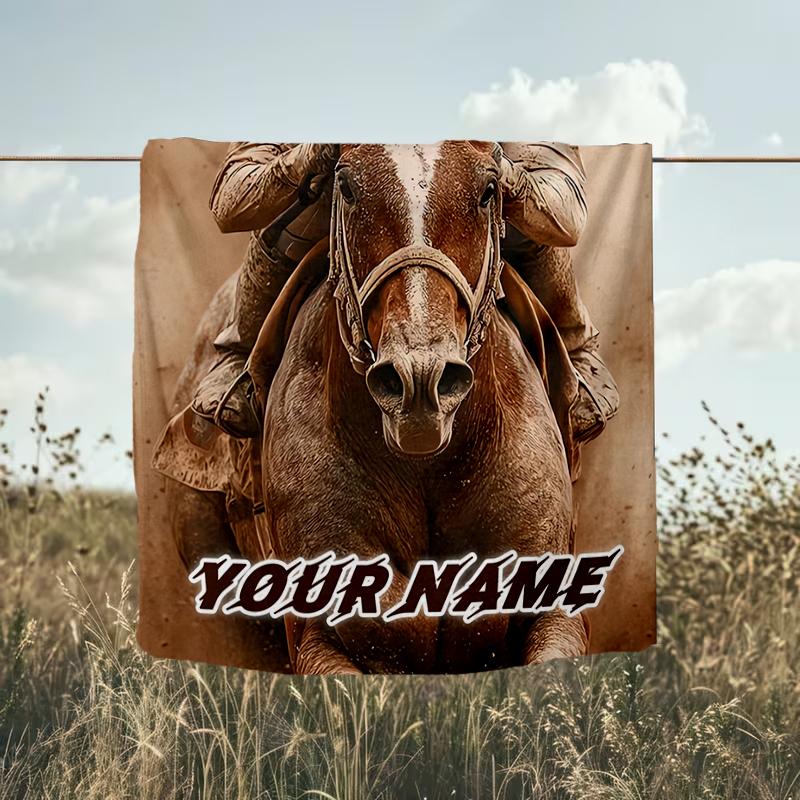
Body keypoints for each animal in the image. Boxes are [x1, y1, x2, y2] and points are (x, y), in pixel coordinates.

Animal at [157, 141, 588, 674]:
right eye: (346, 185)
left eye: (489, 189)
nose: (420, 380)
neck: (428, 465)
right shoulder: (319, 636)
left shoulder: (554, 613)